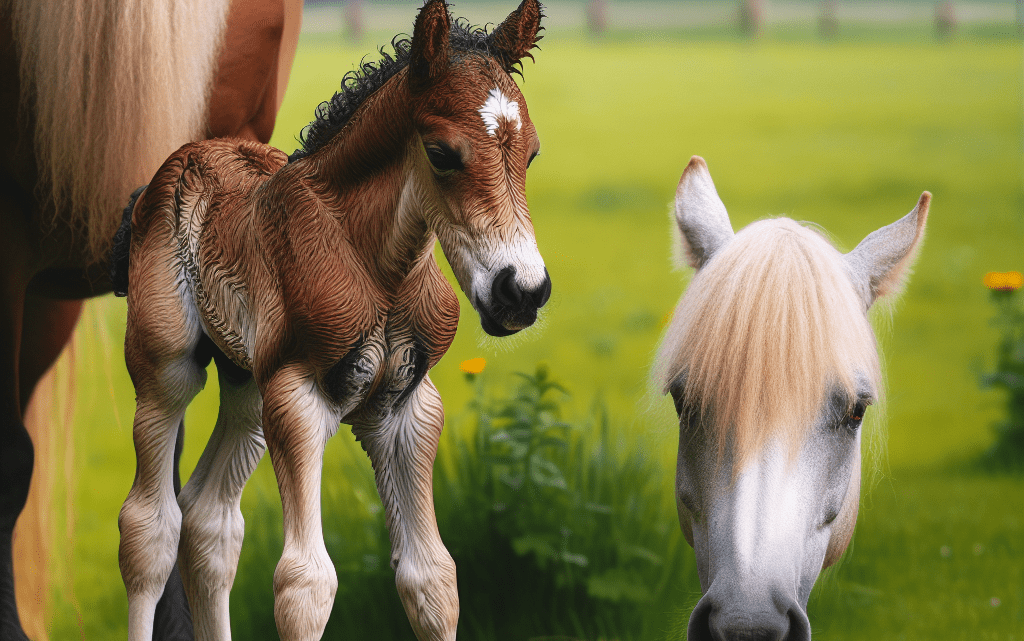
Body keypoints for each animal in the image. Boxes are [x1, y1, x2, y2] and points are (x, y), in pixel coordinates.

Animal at [113, 2, 552, 634]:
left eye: (531, 153)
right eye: (441, 153)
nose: (522, 291)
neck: (380, 271)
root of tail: (182, 159)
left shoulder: (409, 408)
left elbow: (433, 579)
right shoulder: (298, 398)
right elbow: (305, 585)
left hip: (249, 388)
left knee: (209, 520)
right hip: (167, 371)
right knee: (148, 528)